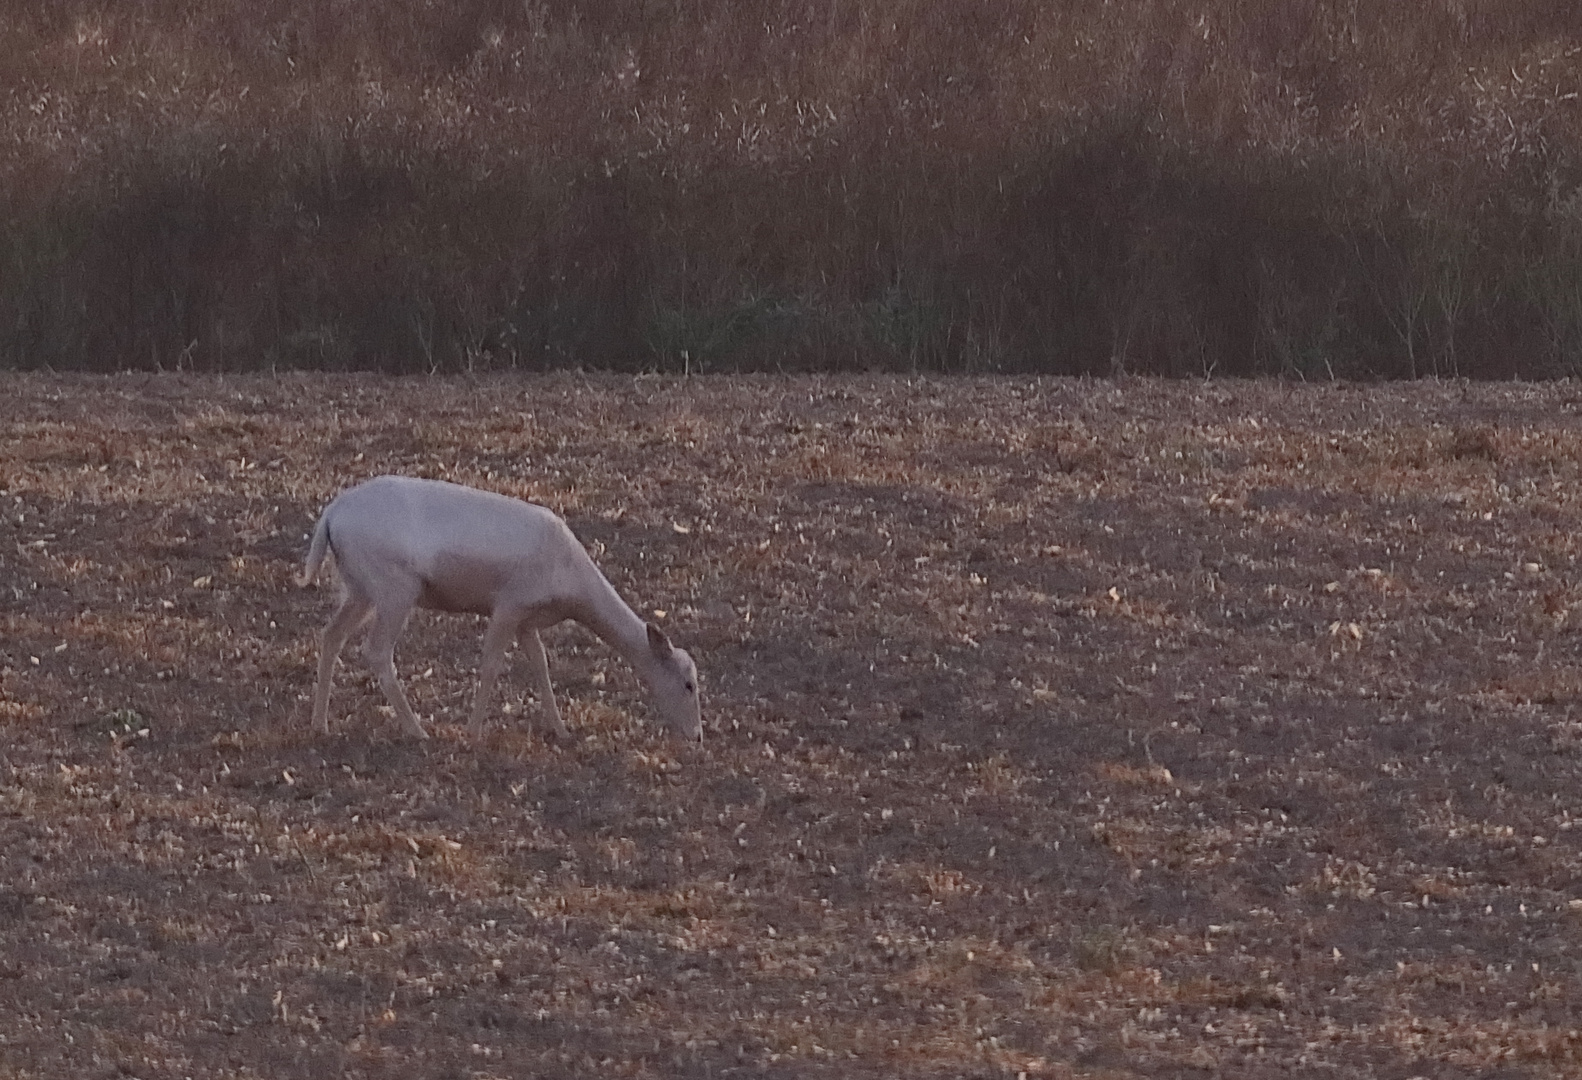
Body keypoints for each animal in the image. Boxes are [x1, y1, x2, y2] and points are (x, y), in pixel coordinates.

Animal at [295, 474, 699, 743]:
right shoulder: (508, 603)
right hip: (394, 586)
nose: (697, 736)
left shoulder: (527, 619)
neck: (570, 585)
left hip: (359, 587)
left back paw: (320, 724)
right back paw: (418, 730)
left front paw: (561, 730)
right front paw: (473, 734)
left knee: (330, 635)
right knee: (377, 650)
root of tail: (331, 514)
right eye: (689, 684)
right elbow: (491, 665)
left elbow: (541, 665)